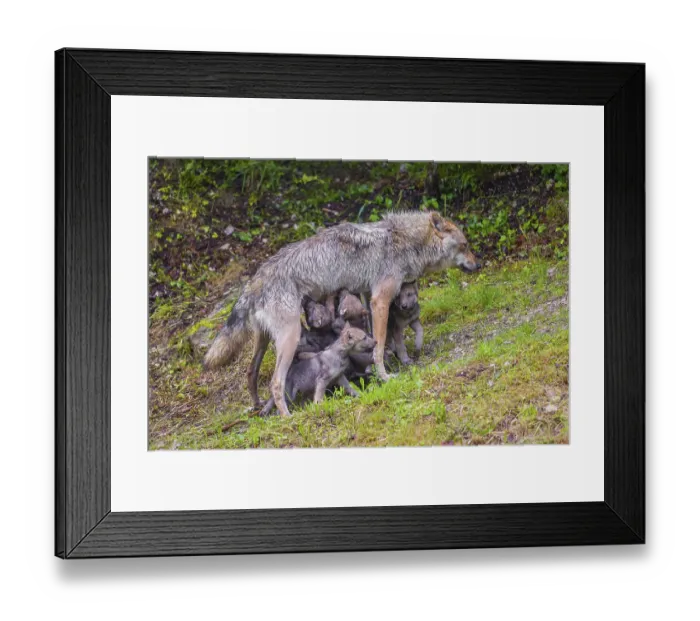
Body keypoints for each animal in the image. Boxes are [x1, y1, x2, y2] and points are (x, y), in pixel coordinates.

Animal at [203, 210, 480, 417]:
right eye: (465, 245)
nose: (479, 264)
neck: (402, 241)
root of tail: (256, 277)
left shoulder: (369, 297)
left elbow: (379, 338)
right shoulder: (380, 300)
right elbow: (380, 345)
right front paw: (385, 375)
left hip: (264, 341)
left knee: (250, 373)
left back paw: (258, 406)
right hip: (290, 338)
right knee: (275, 383)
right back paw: (288, 417)